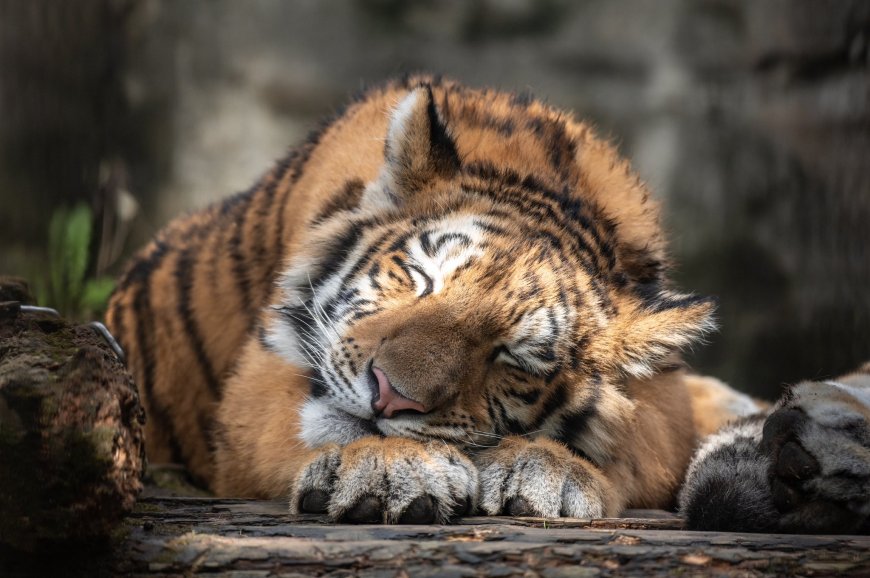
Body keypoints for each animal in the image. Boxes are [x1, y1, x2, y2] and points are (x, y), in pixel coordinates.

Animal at [106, 75, 869, 531]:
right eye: (420, 278)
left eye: (512, 358)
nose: (389, 396)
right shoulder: (257, 384)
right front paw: (390, 466)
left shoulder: (661, 399)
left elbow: (634, 446)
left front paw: (551, 470)